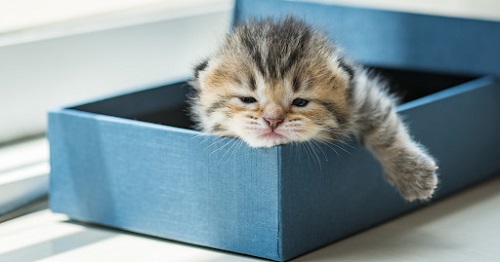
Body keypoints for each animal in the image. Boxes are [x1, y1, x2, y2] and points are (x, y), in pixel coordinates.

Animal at [189, 16, 440, 201]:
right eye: (247, 99)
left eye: (300, 102)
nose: (272, 120)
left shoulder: (362, 93)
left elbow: (385, 128)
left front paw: (412, 174)